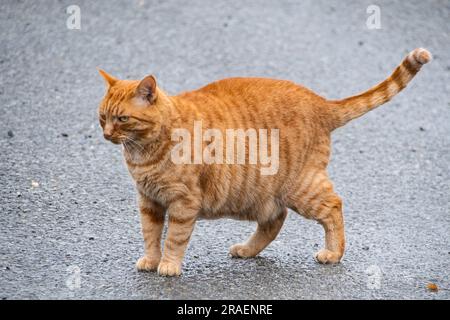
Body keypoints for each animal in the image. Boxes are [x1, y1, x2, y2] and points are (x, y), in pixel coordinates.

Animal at [99, 48, 432, 276]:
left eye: (122, 119)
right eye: (102, 117)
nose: (106, 134)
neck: (143, 153)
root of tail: (320, 101)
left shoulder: (183, 203)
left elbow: (174, 238)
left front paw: (168, 265)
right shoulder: (148, 201)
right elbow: (150, 234)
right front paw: (151, 260)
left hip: (302, 188)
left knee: (334, 206)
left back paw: (333, 253)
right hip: (261, 193)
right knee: (275, 220)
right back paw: (247, 250)